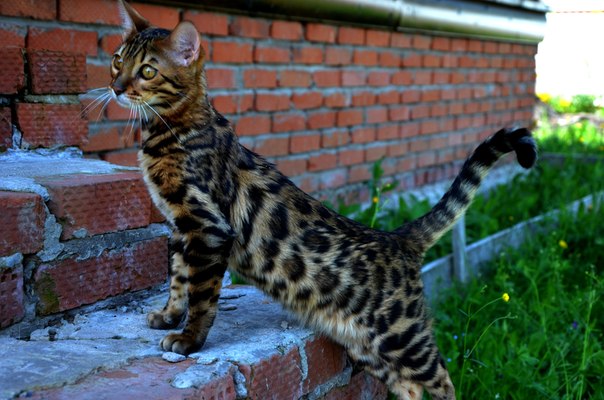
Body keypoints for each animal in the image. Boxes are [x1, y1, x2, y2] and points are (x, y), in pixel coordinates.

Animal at [105, 1, 537, 399]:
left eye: (147, 71)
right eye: (117, 61)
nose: (117, 87)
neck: (172, 129)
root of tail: (398, 238)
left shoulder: (207, 225)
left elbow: (202, 293)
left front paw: (189, 338)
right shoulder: (180, 227)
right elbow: (178, 279)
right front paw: (168, 316)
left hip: (402, 336)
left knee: (443, 377)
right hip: (370, 347)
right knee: (410, 387)